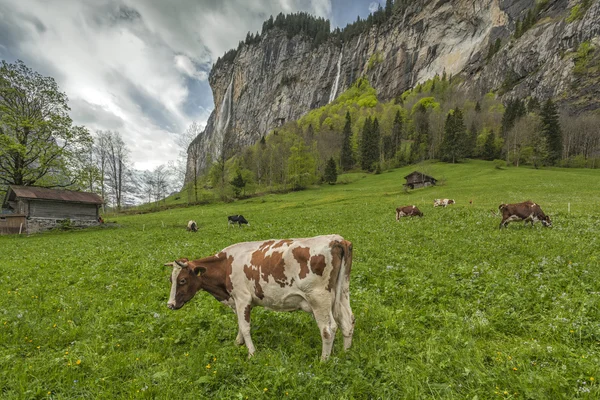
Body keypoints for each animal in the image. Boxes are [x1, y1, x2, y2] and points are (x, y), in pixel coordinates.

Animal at [162, 233, 354, 360]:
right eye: (171, 279)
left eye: (182, 280)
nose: (170, 304)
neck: (226, 264)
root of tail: (336, 239)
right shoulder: (237, 301)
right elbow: (240, 325)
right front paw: (237, 344)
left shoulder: (242, 299)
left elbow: (245, 327)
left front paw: (251, 353)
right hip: (342, 291)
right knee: (348, 321)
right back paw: (346, 354)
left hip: (318, 298)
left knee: (328, 329)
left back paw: (323, 361)